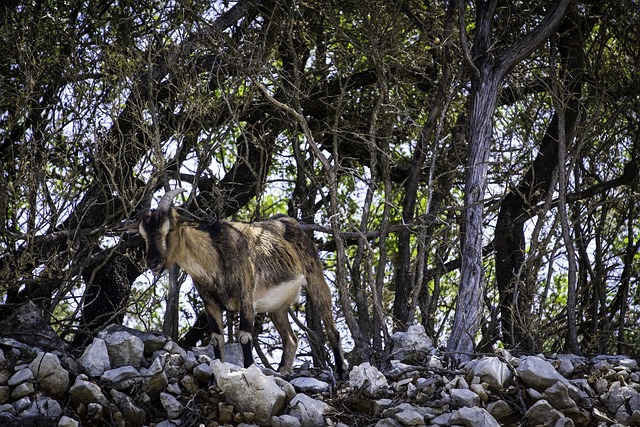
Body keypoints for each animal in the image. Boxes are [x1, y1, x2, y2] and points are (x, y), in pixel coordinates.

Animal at [131, 187, 348, 378]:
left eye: (170, 229)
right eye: (142, 234)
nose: (153, 262)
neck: (214, 259)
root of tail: (291, 223)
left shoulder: (245, 296)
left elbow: (244, 336)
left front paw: (249, 370)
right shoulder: (210, 304)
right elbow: (217, 339)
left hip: (315, 277)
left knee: (331, 328)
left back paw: (340, 371)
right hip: (277, 305)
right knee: (290, 338)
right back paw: (284, 371)